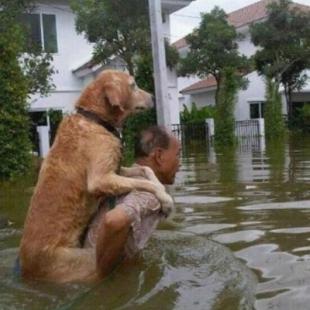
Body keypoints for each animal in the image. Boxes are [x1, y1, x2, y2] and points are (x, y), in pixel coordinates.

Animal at [20, 70, 172, 284]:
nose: (153, 97)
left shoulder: (115, 170)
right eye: (133, 85)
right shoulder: (101, 178)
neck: (95, 120)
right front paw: (166, 200)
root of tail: (26, 269)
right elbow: (145, 184)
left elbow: (145, 171)